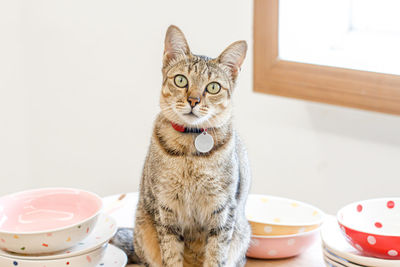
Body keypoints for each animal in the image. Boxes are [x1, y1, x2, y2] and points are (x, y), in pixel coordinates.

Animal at [111, 25, 252, 267]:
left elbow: (215, 255)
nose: (193, 100)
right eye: (180, 80)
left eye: (213, 87)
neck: (190, 152)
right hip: (143, 229)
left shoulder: (223, 210)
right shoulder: (165, 209)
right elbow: (171, 255)